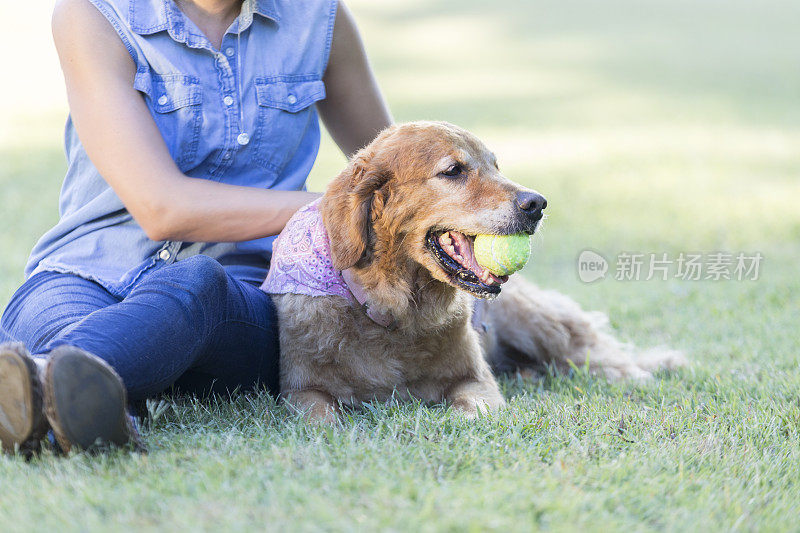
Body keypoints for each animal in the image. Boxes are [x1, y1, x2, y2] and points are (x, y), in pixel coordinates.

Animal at [266, 121, 684, 424]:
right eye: (453, 170)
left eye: (496, 166)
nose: (538, 204)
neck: (397, 314)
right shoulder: (302, 389)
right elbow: (321, 420)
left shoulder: (475, 380)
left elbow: (471, 412)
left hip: (540, 324)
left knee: (598, 353)